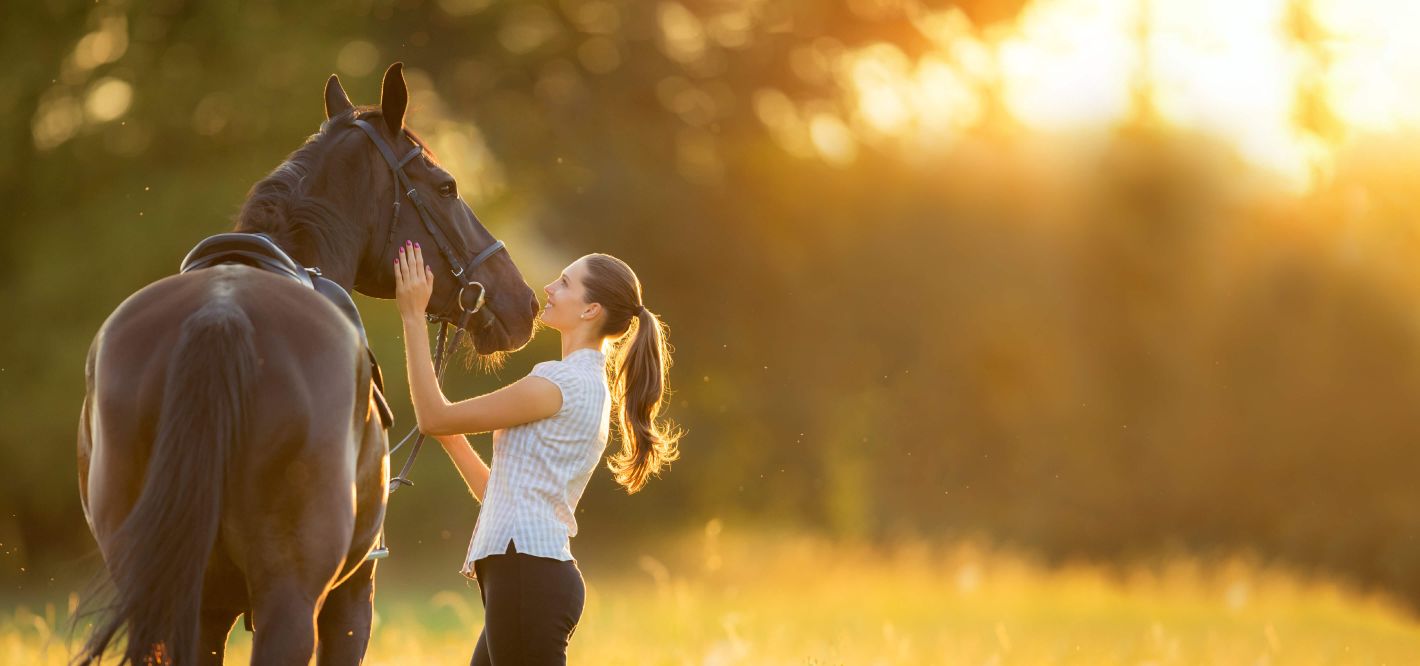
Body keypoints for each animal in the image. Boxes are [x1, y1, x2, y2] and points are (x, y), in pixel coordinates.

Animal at [75, 63, 539, 664]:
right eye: (447, 187)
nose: (523, 303)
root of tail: (220, 315)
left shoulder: (208, 613)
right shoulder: (352, 597)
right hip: (291, 599)